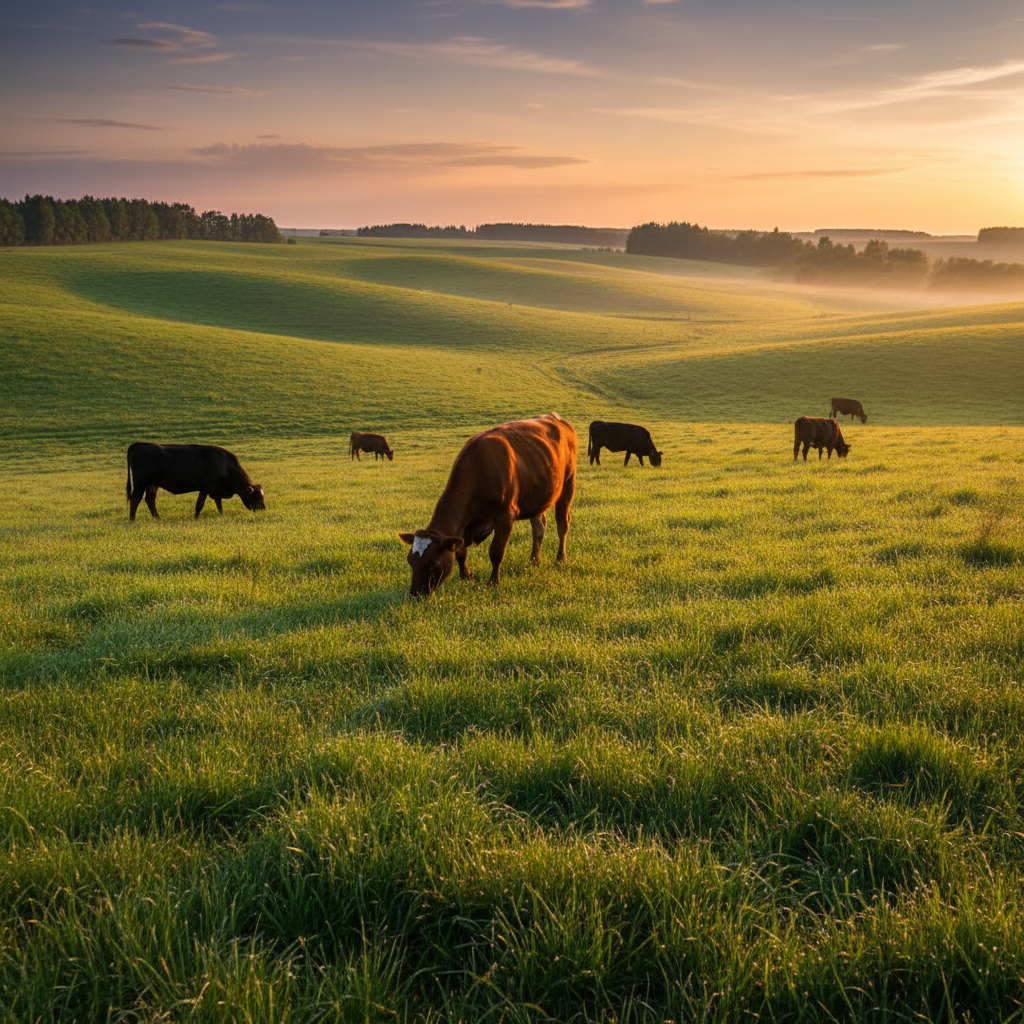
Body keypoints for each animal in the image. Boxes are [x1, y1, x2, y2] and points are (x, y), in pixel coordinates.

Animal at [126, 443, 265, 520]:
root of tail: (139, 445)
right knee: (135, 499)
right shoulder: (205, 488)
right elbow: (199, 505)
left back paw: (158, 518)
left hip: (152, 485)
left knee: (150, 500)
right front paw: (196, 518)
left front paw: (221, 514)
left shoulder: (215, 490)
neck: (224, 465)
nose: (262, 509)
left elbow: (218, 504)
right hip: (140, 484)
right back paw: (132, 519)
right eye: (257, 497)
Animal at [398, 413, 577, 597]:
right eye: (410, 561)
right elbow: (460, 553)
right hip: (536, 498)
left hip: (568, 483)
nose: (416, 595)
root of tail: (555, 417)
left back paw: (560, 558)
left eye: (434, 564)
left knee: (562, 524)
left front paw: (493, 582)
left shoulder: (506, 517)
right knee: (539, 527)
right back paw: (535, 560)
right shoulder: (464, 527)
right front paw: (466, 577)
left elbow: (496, 552)